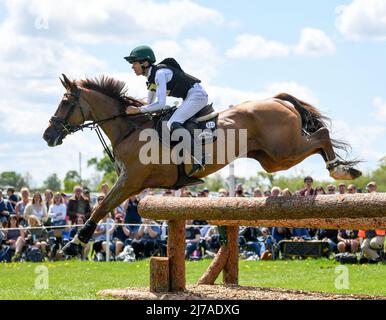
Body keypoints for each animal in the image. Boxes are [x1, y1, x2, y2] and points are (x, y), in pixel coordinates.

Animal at [43, 74, 362, 256]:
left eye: (65, 102)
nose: (48, 135)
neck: (129, 128)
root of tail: (277, 100)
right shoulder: (131, 184)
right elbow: (103, 205)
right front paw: (74, 242)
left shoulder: (130, 181)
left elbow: (100, 207)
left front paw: (73, 244)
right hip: (272, 159)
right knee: (316, 141)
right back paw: (342, 168)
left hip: (283, 151)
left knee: (321, 135)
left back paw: (342, 169)